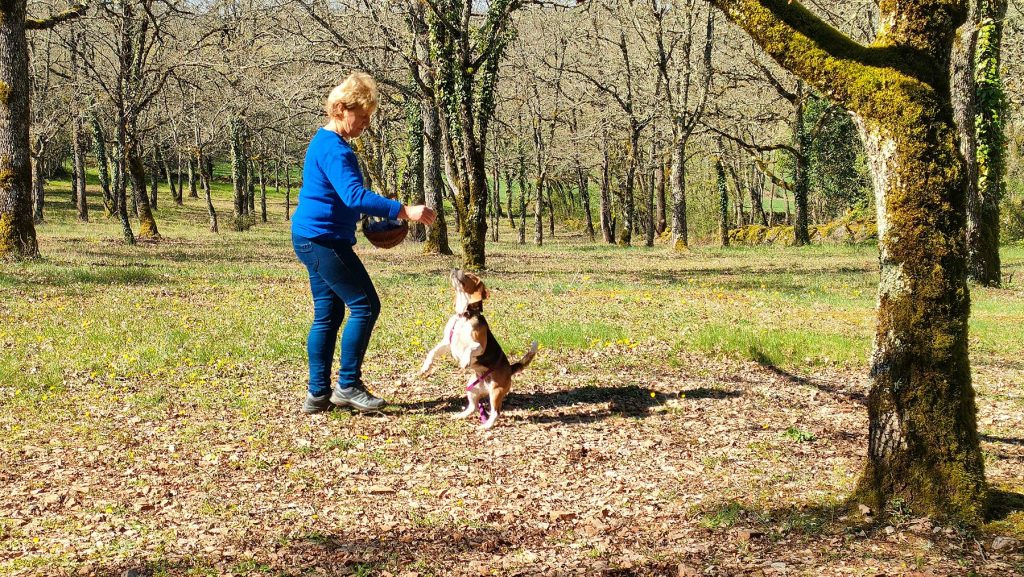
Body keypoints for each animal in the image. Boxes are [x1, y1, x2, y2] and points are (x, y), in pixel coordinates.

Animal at [419, 268, 540, 426]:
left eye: (470, 276)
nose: (455, 268)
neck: (464, 316)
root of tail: (510, 368)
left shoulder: (480, 345)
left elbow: (470, 349)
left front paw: (464, 361)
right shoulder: (447, 342)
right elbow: (432, 352)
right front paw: (425, 367)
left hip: (496, 391)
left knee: (496, 413)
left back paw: (486, 426)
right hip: (472, 388)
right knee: (474, 407)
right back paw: (460, 416)